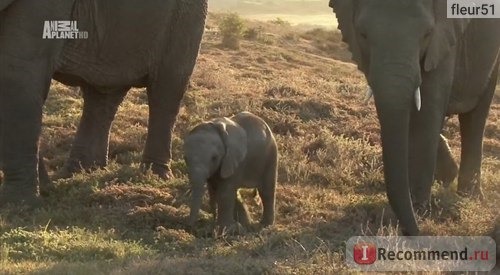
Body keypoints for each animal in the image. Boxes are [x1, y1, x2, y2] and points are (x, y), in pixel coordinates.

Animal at [0, 0, 207, 208]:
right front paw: (45, 190)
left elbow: (18, 78)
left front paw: (19, 205)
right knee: (103, 94)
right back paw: (81, 172)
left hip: (184, 20)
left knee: (166, 92)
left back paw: (153, 176)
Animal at [332, 0, 500, 237]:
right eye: (363, 34)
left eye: (427, 33)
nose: (416, 232)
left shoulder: (443, 40)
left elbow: (426, 111)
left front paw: (420, 210)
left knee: (476, 116)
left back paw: (469, 197)